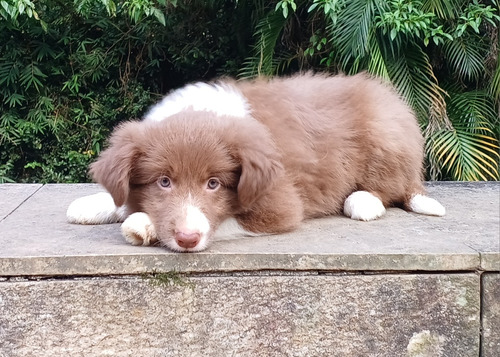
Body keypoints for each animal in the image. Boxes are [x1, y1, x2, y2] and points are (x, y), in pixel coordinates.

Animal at [66, 72, 446, 250]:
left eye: (214, 183)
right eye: (163, 181)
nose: (187, 239)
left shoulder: (281, 204)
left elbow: (224, 219)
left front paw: (142, 224)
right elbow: (121, 197)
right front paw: (92, 204)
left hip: (385, 136)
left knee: (391, 189)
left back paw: (363, 201)